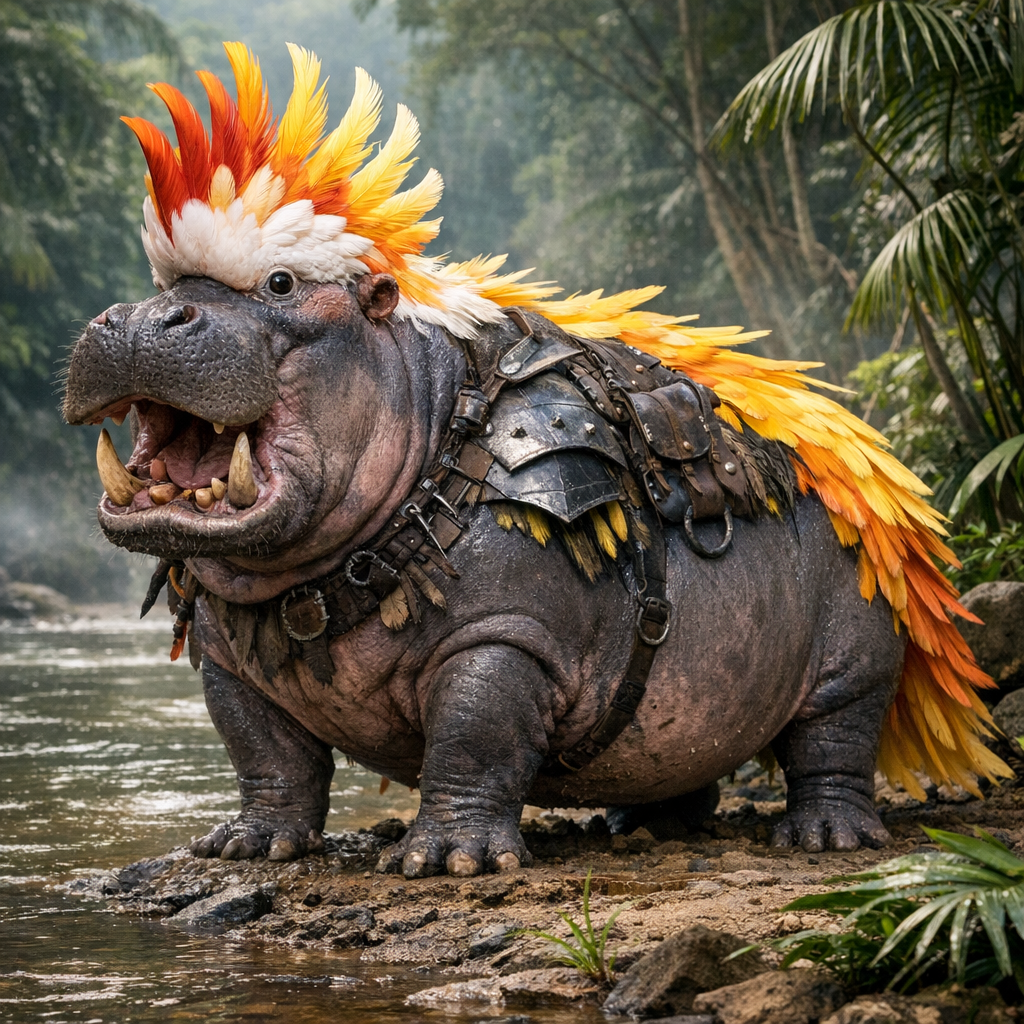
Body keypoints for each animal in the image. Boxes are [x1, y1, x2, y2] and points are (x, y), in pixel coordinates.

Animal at [60, 45, 998, 877]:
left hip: (856, 588)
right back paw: (642, 828)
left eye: (281, 284)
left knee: (835, 722)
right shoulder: (227, 653)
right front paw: (246, 850)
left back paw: (823, 844)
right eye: (163, 287)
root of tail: (855, 447)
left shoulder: (508, 632)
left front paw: (448, 865)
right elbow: (262, 747)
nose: (133, 318)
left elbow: (476, 732)